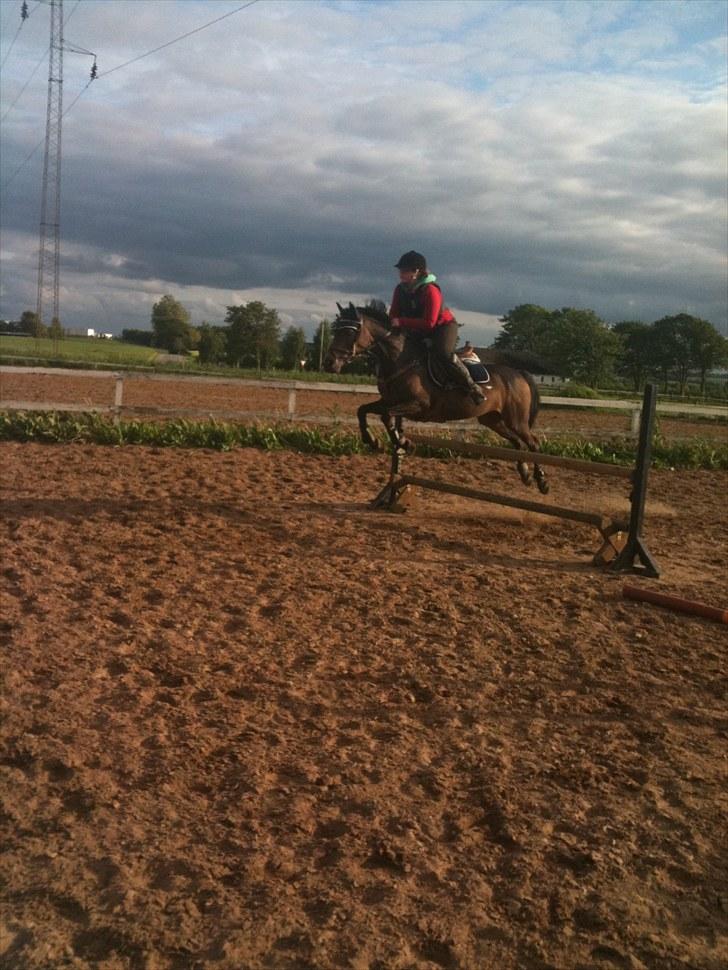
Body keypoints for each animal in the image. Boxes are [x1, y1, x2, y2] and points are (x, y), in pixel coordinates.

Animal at [326, 300, 552, 492]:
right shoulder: (388, 401)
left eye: (350, 331)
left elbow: (385, 416)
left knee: (532, 443)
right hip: (492, 419)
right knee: (517, 443)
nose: (329, 363)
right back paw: (525, 474)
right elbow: (363, 411)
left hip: (516, 419)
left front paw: (403, 442)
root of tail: (518, 373)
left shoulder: (417, 405)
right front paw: (373, 441)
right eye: (336, 330)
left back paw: (542, 481)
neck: (401, 360)